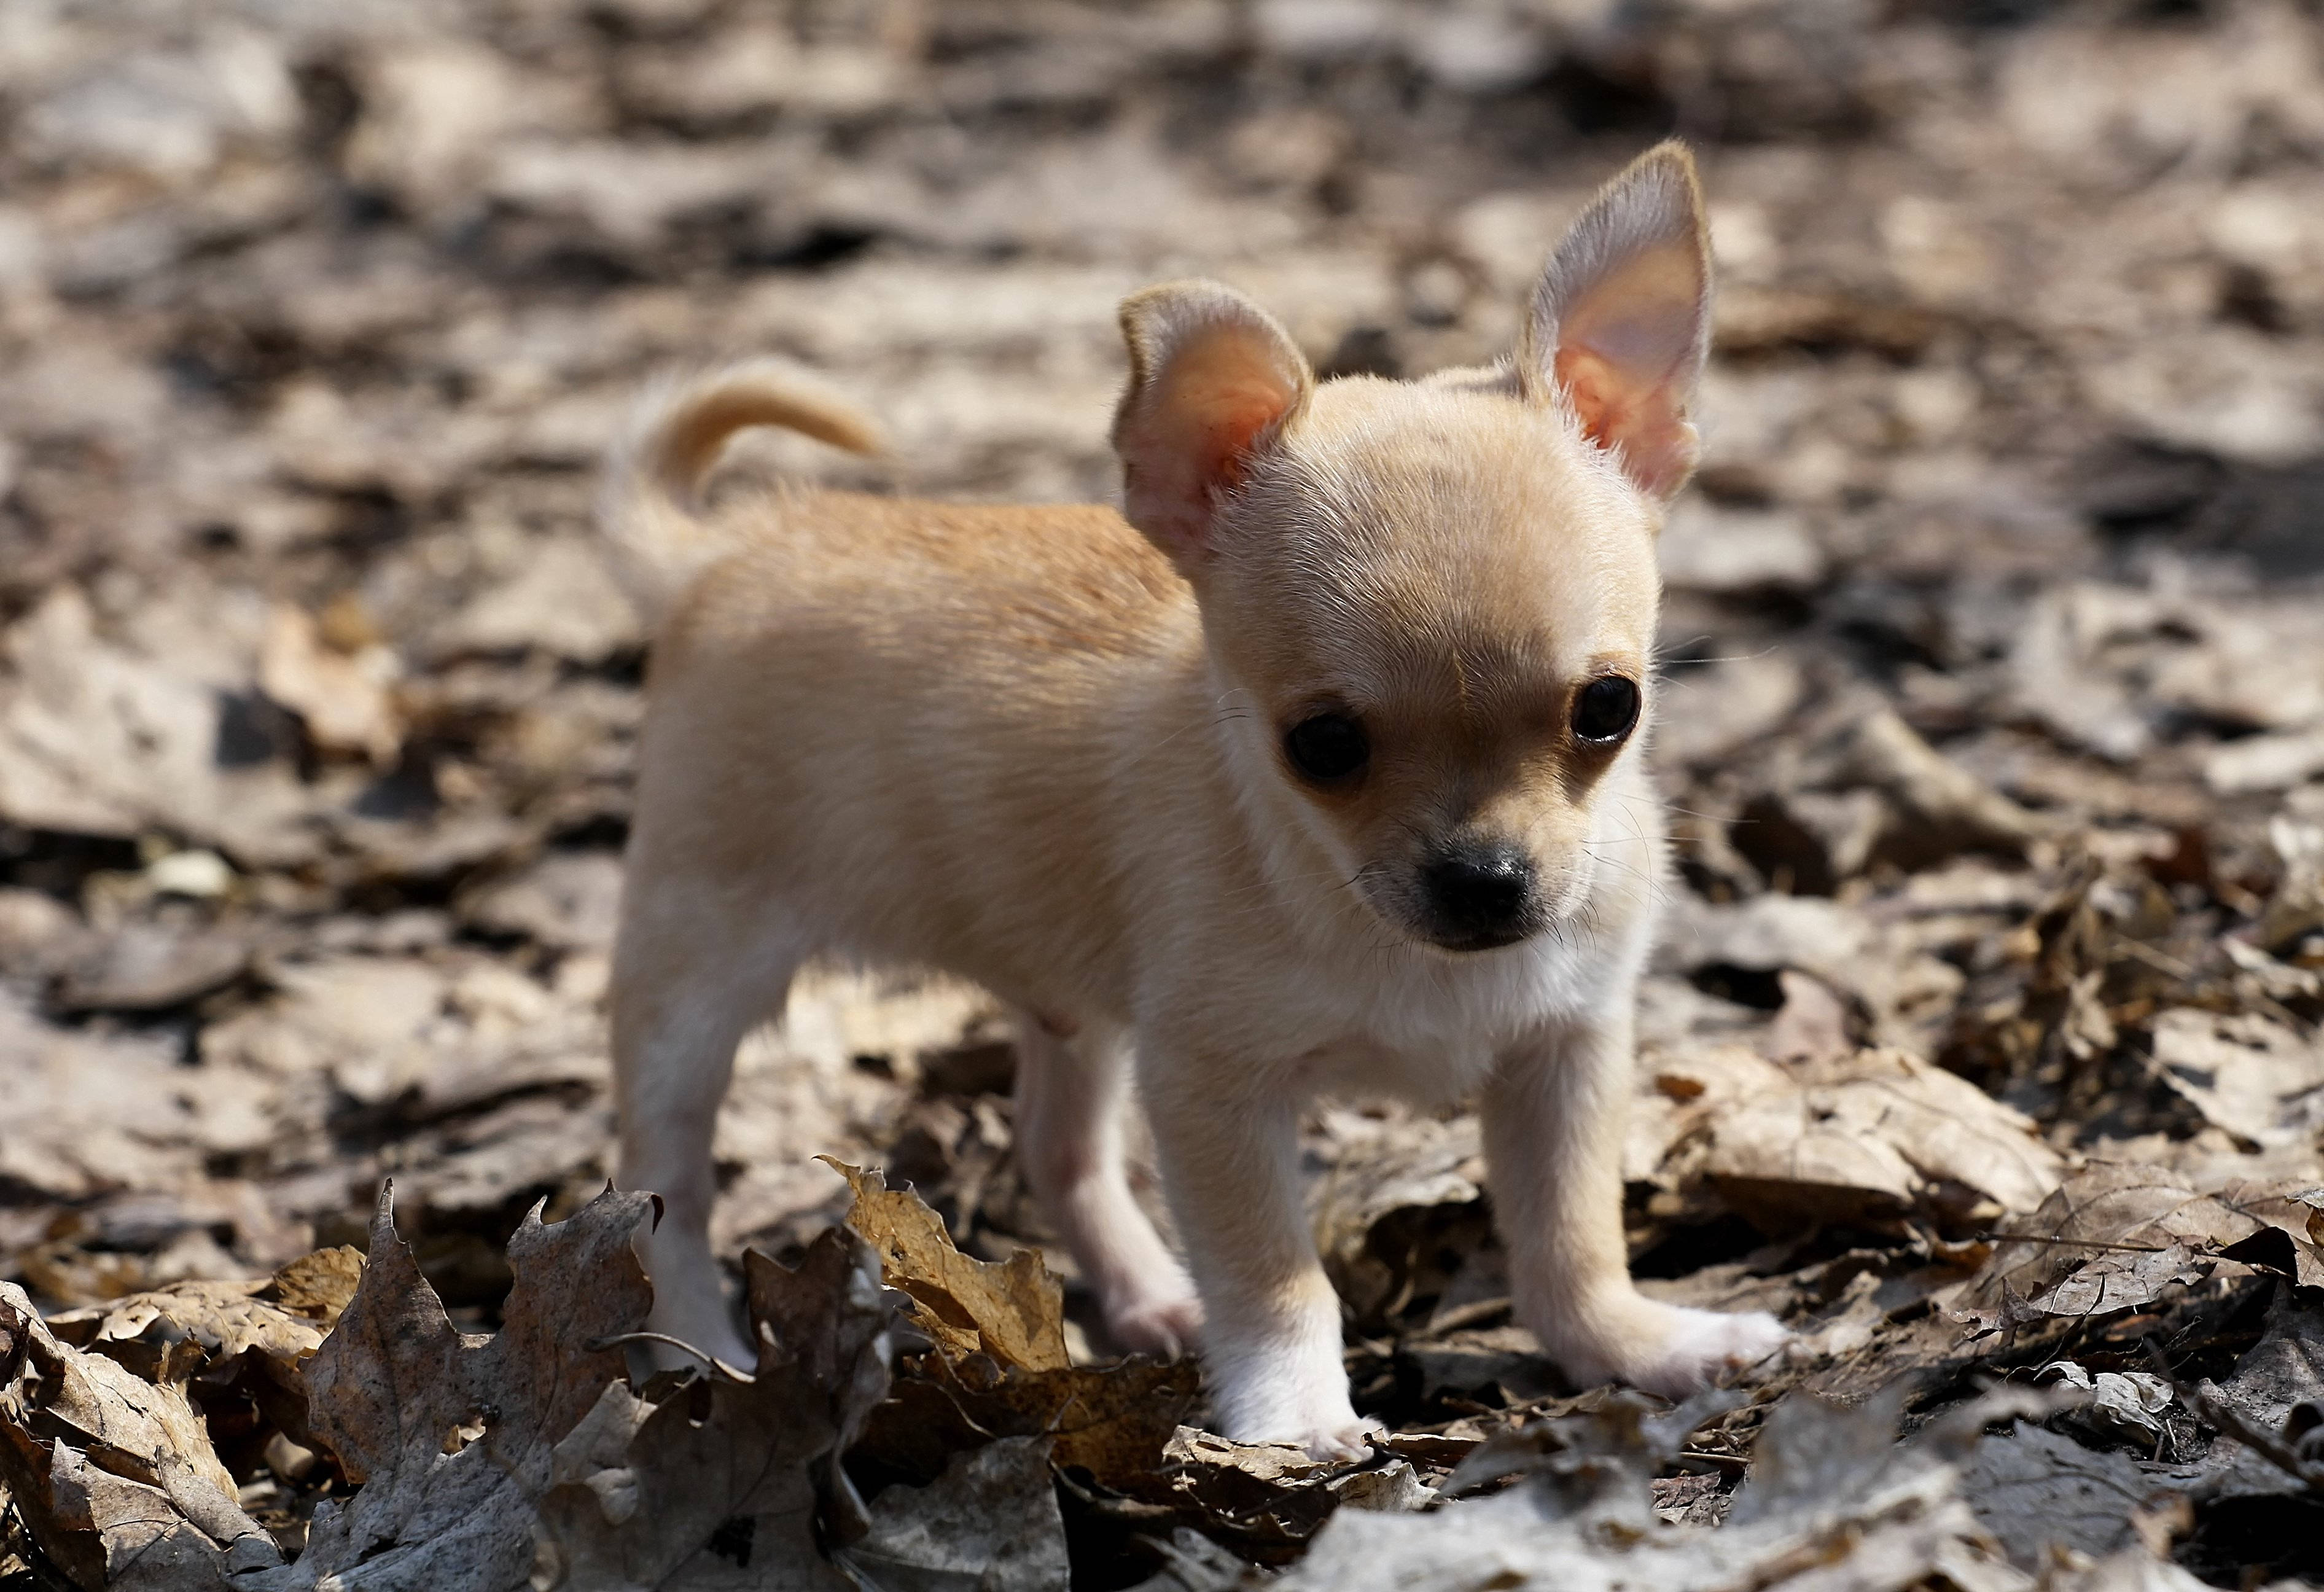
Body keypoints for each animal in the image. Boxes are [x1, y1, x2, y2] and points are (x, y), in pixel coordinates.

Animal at [609, 142, 1785, 1459]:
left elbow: (1568, 1235)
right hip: (697, 975)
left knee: (1057, 1148)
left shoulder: (1564, 1048)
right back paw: (694, 1346)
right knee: (665, 1184)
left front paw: (1633, 1344)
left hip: (1073, 1009)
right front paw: (1292, 1410)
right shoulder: (1214, 1094)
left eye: (1607, 710)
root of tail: (722, 554)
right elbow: (1276, 1275)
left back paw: (1143, 1294)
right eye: (1320, 745)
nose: (1484, 882)